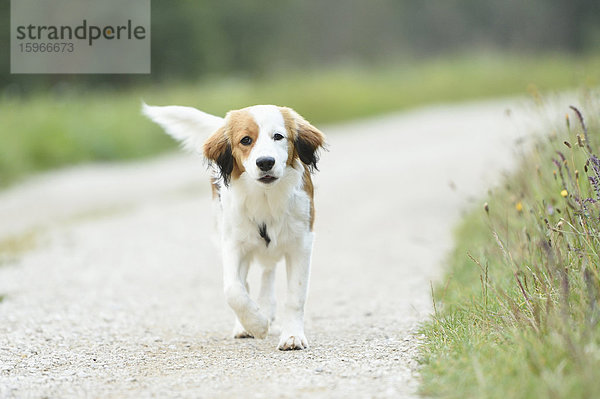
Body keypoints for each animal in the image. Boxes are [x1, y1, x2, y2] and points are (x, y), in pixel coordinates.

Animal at [143, 104, 326, 352]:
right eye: (246, 140)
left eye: (278, 136)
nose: (265, 162)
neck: (265, 197)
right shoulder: (233, 243)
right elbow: (233, 290)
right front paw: (257, 324)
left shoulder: (301, 242)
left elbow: (295, 295)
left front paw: (292, 336)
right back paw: (248, 322)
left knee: (268, 270)